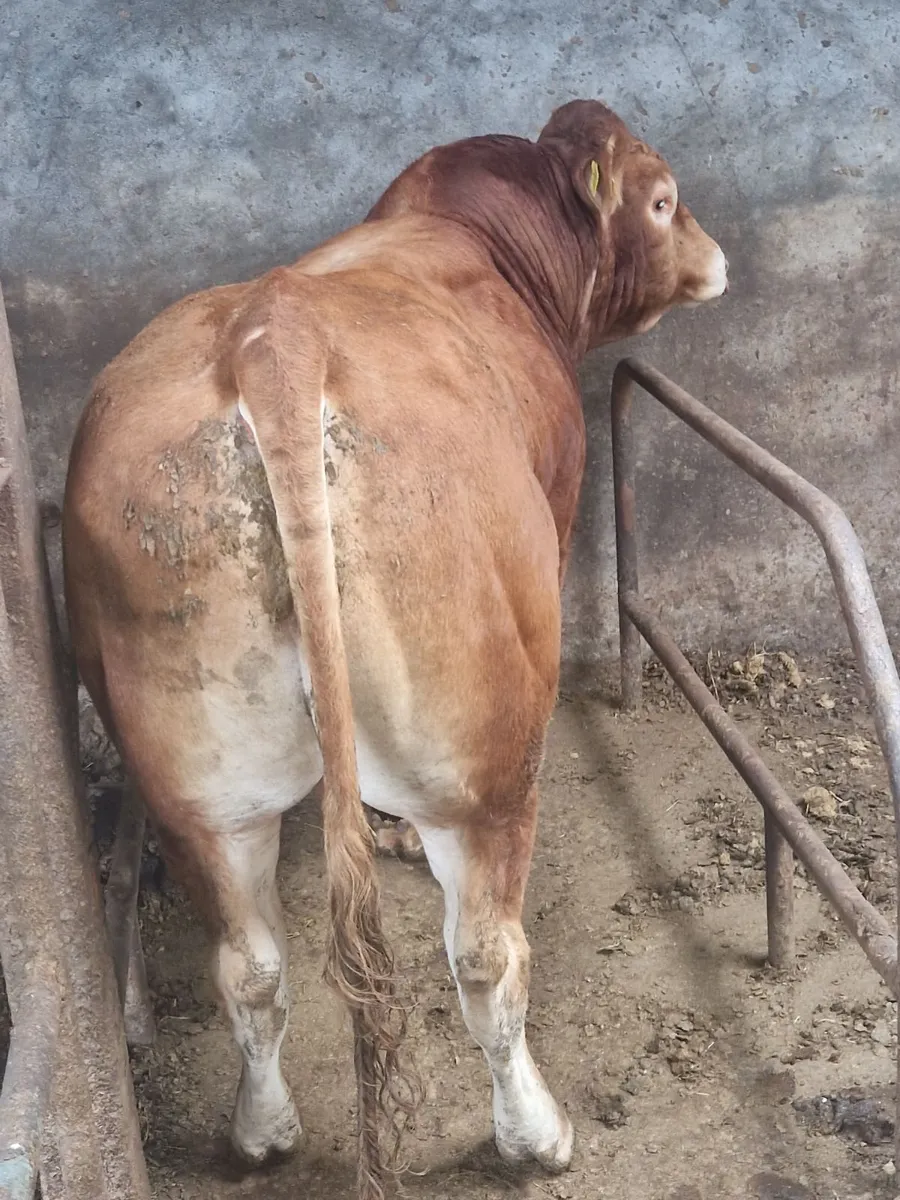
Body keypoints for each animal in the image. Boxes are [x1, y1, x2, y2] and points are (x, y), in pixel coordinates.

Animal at [63, 100, 727, 1199]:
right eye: (666, 200)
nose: (716, 261)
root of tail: (272, 337)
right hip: (481, 763)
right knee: (487, 957)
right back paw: (534, 1135)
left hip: (202, 779)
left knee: (249, 963)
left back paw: (262, 1132)